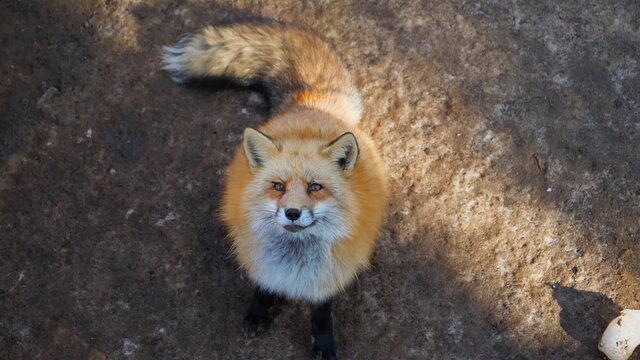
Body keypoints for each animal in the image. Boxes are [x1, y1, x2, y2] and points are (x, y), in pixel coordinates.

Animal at [162, 23, 388, 360]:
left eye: (315, 187)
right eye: (278, 186)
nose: (292, 212)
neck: (293, 261)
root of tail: (310, 104)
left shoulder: (328, 276)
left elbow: (321, 316)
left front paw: (323, 344)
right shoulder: (260, 262)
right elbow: (262, 290)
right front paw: (258, 314)